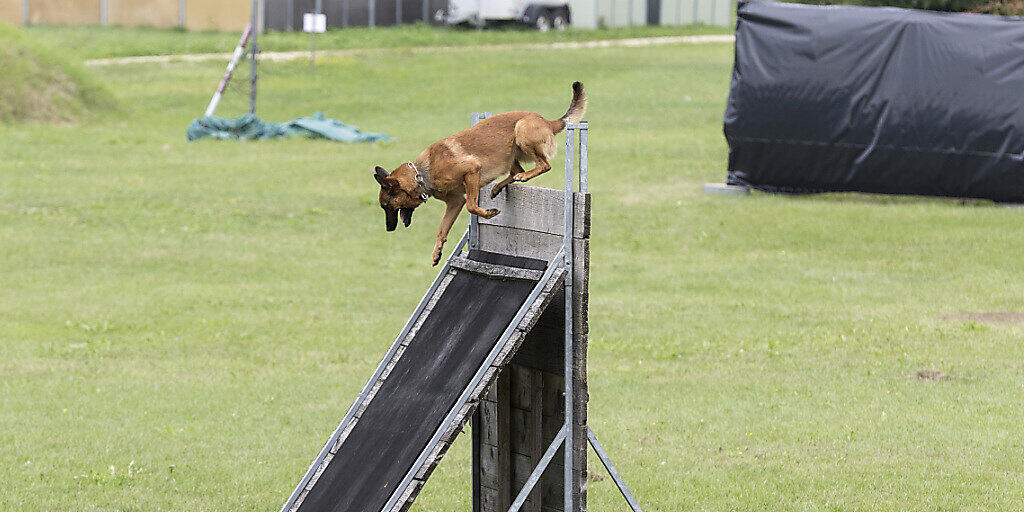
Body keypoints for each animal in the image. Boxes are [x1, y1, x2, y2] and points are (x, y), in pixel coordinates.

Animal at [374, 81, 585, 266]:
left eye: (386, 206)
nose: (388, 229)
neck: (421, 175)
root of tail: (547, 121)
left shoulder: (472, 170)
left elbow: (471, 206)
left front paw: (489, 213)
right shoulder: (454, 202)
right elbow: (442, 228)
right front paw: (436, 252)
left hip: (522, 131)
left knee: (543, 165)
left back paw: (522, 178)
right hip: (511, 153)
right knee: (517, 171)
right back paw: (498, 186)